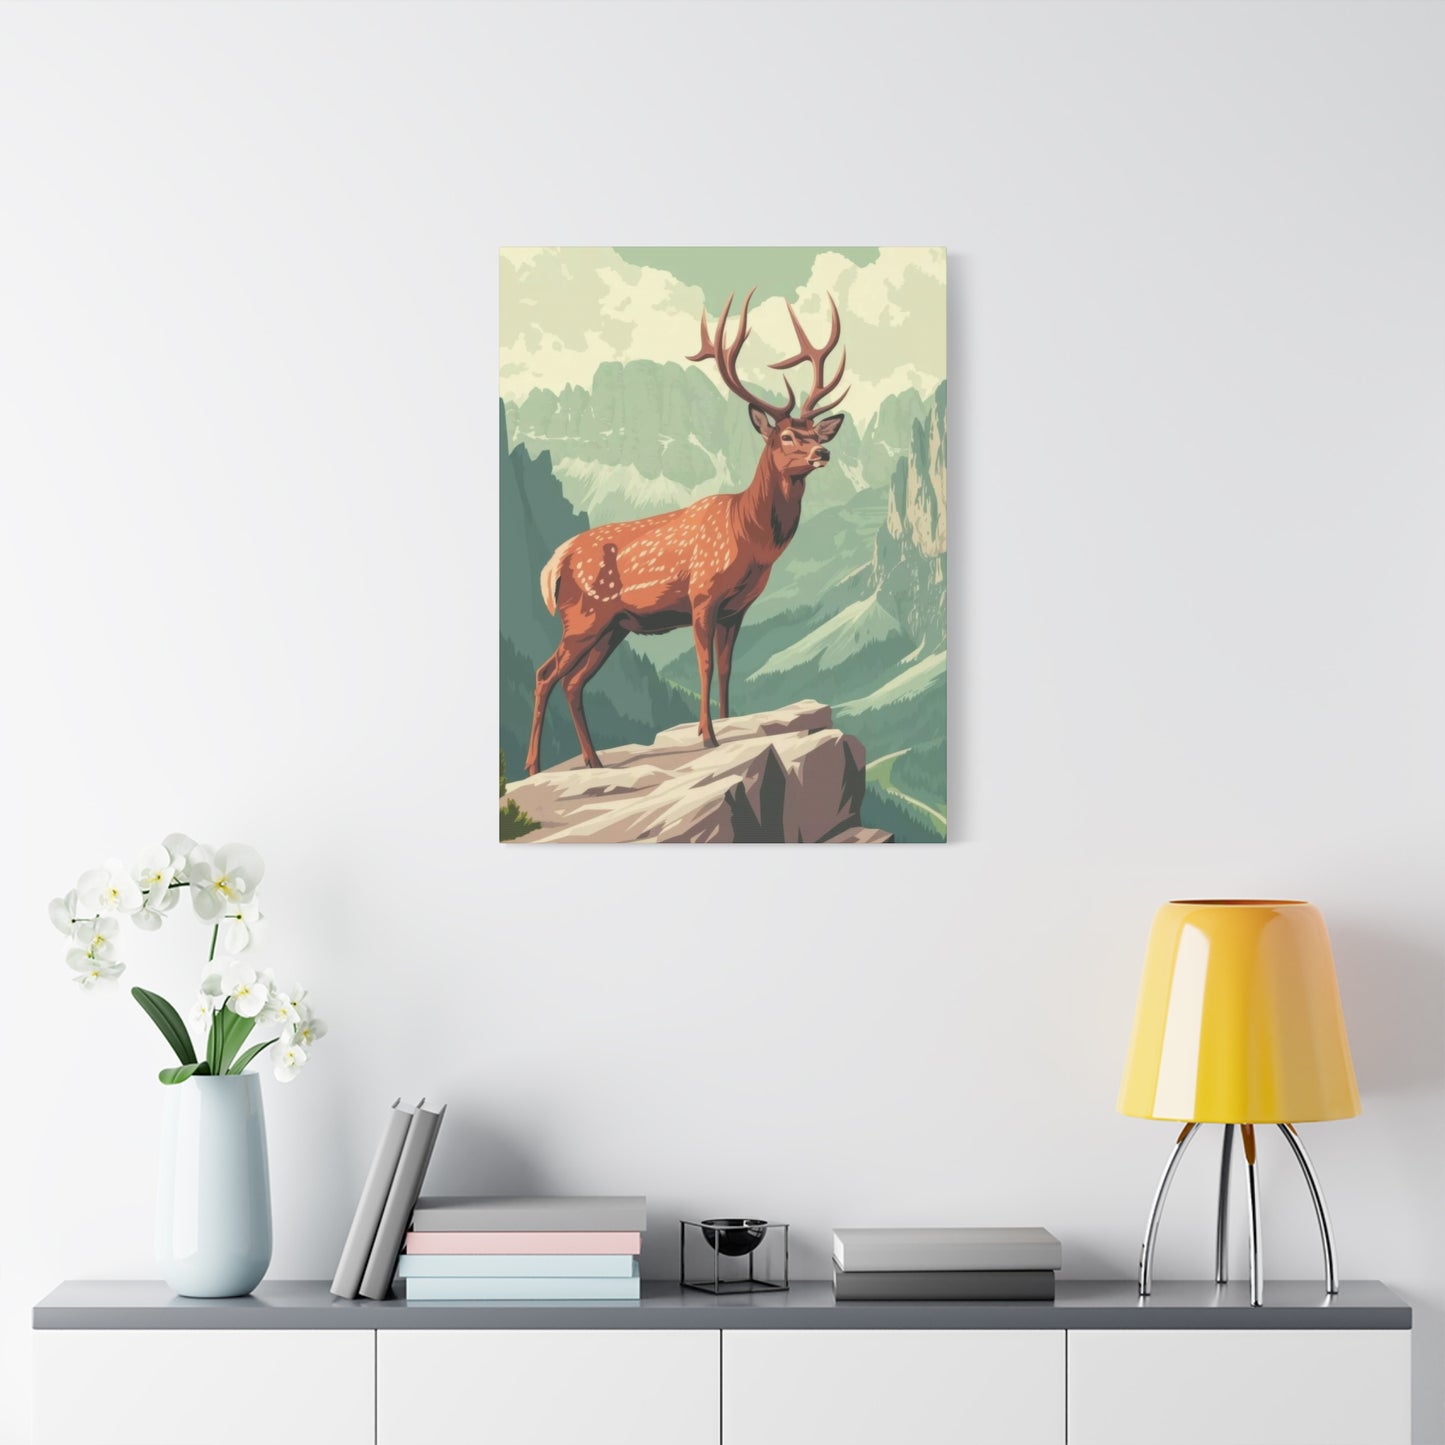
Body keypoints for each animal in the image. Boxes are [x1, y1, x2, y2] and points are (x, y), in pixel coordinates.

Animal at [524, 287, 849, 777]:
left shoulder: (737, 608)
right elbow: (705, 665)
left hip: (612, 628)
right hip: (583, 617)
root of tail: (554, 563)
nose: (824, 453)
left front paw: (728, 725)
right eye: (788, 436)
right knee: (545, 675)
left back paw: (594, 761)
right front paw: (708, 736)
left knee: (574, 682)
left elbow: (729, 669)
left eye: (815, 430)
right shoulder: (702, 594)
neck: (748, 537)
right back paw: (533, 767)